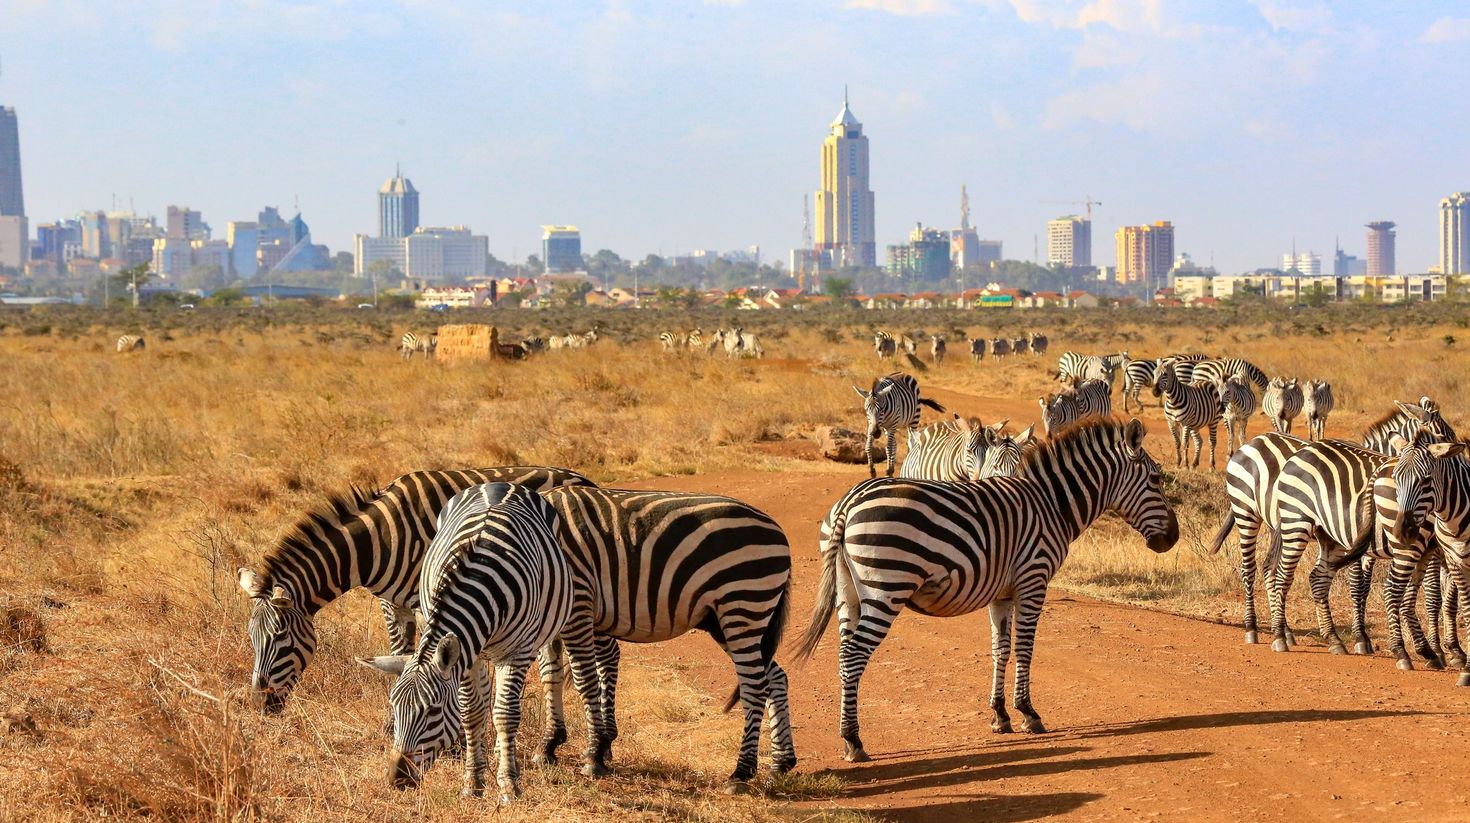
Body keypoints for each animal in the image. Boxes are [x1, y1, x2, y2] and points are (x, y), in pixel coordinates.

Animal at [235, 466, 594, 714]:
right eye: (252, 638)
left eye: (280, 637)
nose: (260, 704)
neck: (376, 542)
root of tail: (582, 478)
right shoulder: (392, 603)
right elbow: (399, 654)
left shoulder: (426, 601)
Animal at [357, 483, 572, 801]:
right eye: (394, 707)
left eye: (433, 710)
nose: (397, 779)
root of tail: (499, 484)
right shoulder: (467, 654)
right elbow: (471, 712)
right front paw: (473, 782)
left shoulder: (517, 652)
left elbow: (506, 714)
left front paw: (509, 785)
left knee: (539, 680)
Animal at [535, 487, 795, 788]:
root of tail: (777, 530)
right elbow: (550, 676)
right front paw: (549, 745)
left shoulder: (579, 604)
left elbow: (584, 681)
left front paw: (593, 755)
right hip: (728, 620)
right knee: (775, 677)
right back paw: (781, 763)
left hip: (743, 604)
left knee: (755, 685)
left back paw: (741, 771)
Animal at [794, 419, 1177, 761]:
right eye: (1156, 479)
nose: (1173, 539)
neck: (1051, 504)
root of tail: (849, 502)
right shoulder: (1033, 579)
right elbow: (1025, 649)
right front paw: (1028, 714)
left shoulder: (1002, 593)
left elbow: (1000, 649)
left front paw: (1000, 715)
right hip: (886, 587)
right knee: (855, 654)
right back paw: (854, 741)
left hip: (848, 593)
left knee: (844, 654)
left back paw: (848, 736)